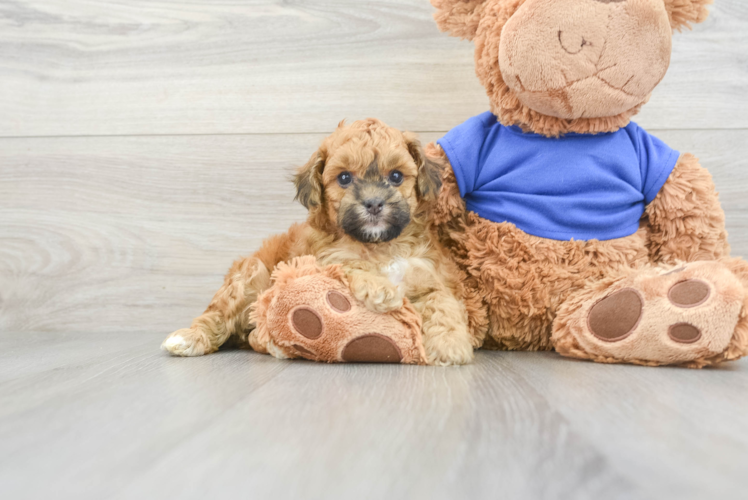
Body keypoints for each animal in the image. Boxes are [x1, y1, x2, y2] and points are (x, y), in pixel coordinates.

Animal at [163, 119, 480, 366]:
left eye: (396, 176)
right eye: (344, 178)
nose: (374, 203)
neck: (379, 246)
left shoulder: (428, 275)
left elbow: (442, 304)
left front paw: (450, 345)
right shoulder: (323, 261)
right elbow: (349, 265)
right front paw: (382, 290)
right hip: (250, 275)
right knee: (219, 316)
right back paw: (188, 338)